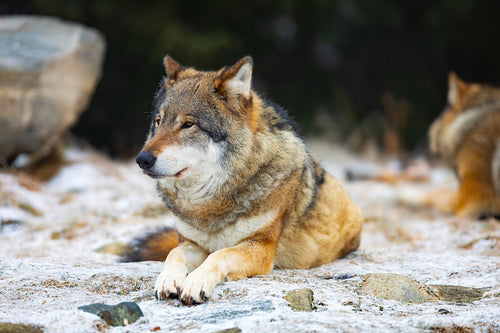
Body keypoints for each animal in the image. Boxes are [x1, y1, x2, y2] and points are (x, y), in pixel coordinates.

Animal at [131, 55, 362, 304]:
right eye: (158, 121)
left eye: (188, 124)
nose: (142, 160)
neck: (210, 202)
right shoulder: (191, 243)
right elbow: (173, 253)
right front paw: (167, 280)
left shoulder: (261, 247)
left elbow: (219, 255)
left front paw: (195, 282)